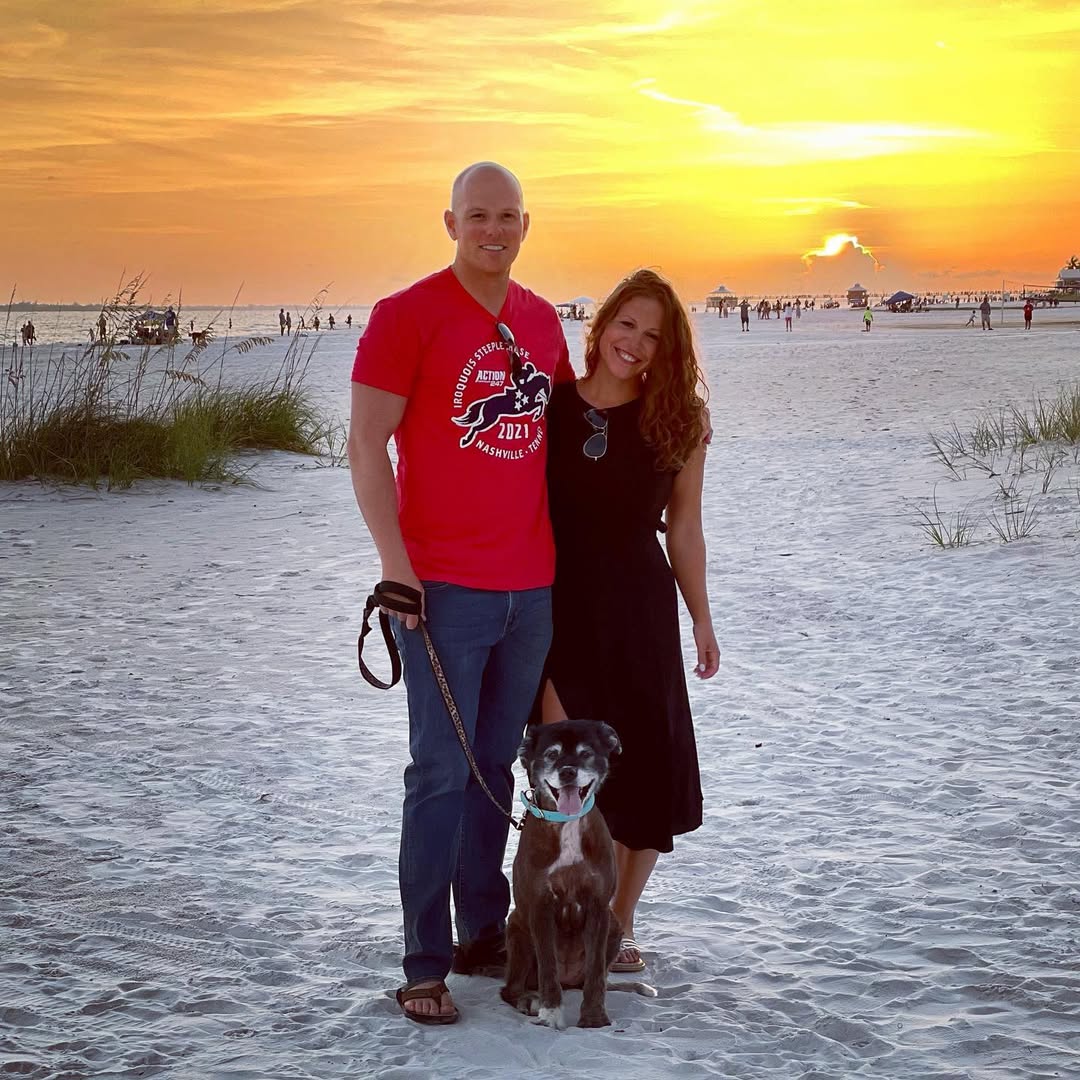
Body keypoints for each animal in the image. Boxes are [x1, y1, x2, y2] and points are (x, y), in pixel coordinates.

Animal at [503, 717, 626, 1028]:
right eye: (551, 754)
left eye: (586, 754)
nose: (568, 772)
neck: (567, 822)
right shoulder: (540, 906)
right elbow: (547, 967)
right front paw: (550, 1013)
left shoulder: (598, 907)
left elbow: (595, 973)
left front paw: (594, 1017)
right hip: (517, 927)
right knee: (511, 989)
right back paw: (528, 1000)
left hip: (615, 925)